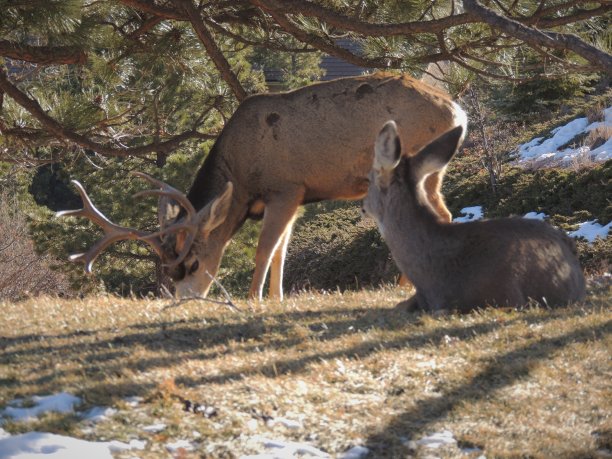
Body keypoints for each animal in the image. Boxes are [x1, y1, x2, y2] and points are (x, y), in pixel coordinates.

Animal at [59, 73, 466, 300]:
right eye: (168, 271)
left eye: (192, 264)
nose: (185, 301)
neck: (241, 178)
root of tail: (457, 111)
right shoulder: (298, 197)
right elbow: (282, 252)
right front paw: (276, 298)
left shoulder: (284, 187)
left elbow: (264, 251)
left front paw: (254, 298)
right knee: (443, 212)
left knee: (438, 213)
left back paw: (407, 283)